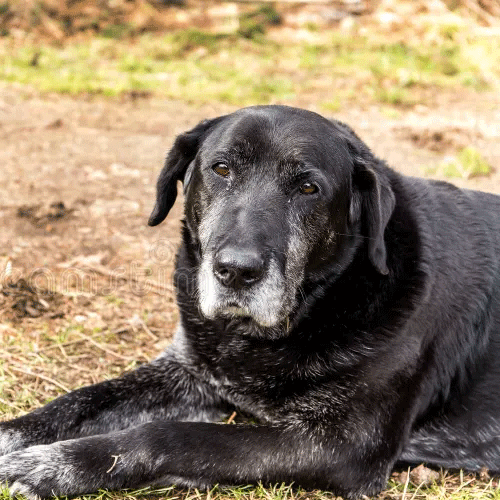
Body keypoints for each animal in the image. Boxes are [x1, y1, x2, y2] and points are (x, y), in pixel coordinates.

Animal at [1, 105, 500, 499]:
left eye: (308, 188)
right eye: (221, 168)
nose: (236, 271)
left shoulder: (342, 444)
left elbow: (174, 437)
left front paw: (56, 467)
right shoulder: (189, 372)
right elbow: (82, 400)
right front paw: (14, 435)